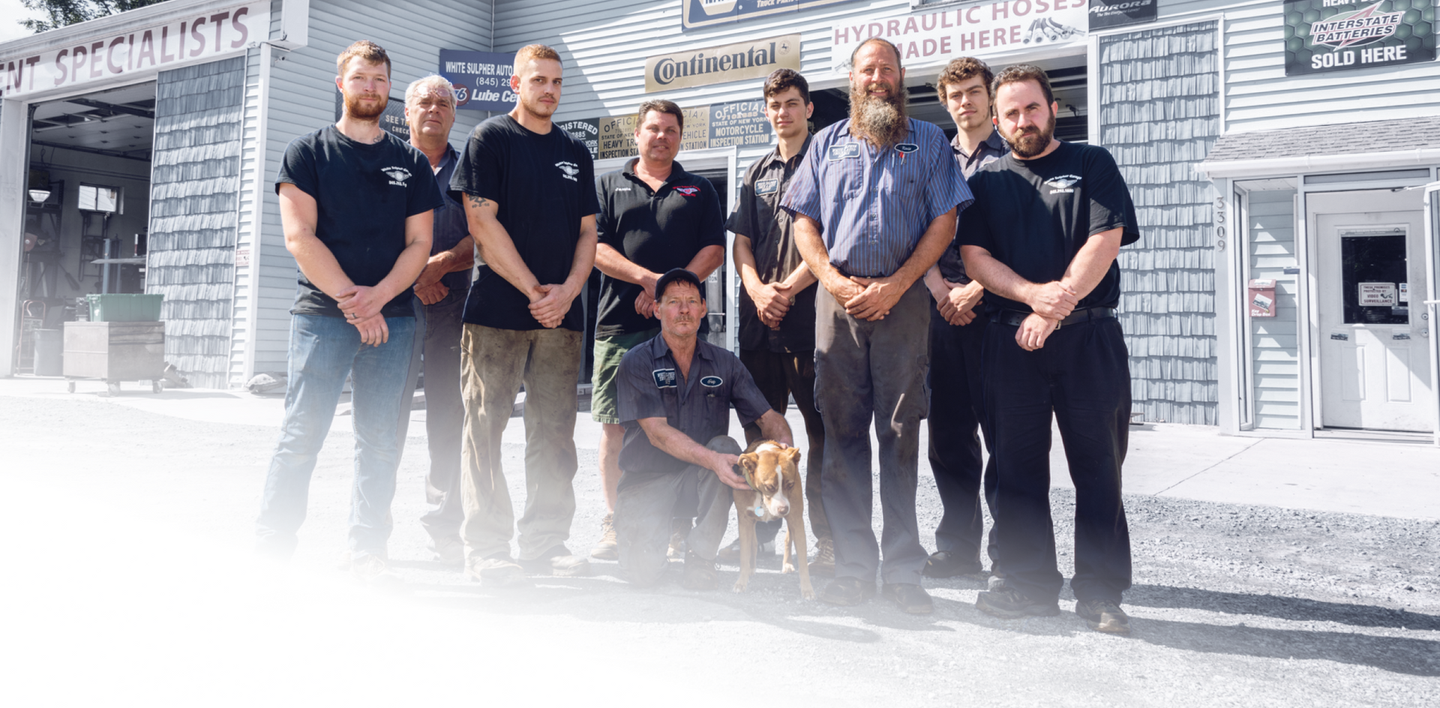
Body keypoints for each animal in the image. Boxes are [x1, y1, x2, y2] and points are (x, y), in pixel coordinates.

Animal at [731, 443, 812, 598]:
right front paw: (741, 582)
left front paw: (807, 589)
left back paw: (787, 564)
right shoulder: (744, 521)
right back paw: (752, 567)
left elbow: (803, 560)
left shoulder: (796, 519)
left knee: (788, 539)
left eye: (790, 485)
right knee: (754, 543)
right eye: (769, 486)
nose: (784, 509)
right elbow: (744, 554)